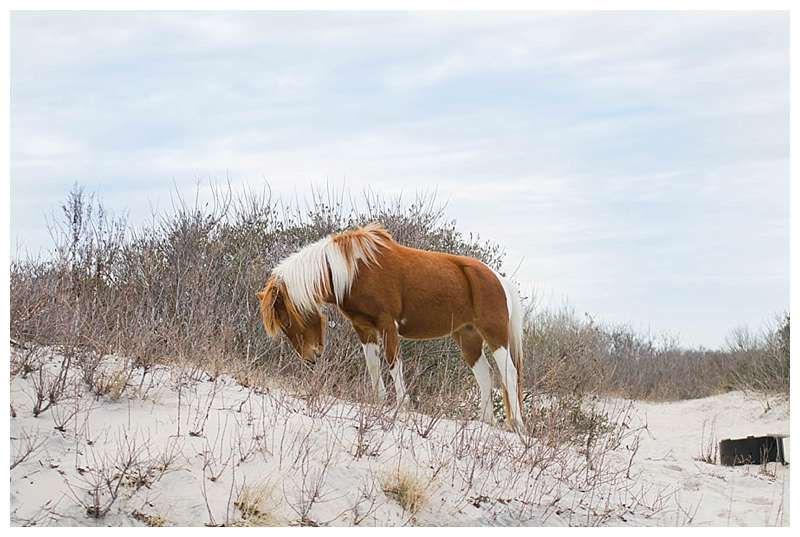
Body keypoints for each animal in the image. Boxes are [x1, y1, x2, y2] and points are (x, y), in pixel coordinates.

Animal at [256, 223, 528, 432]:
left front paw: (401, 404)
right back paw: (484, 422)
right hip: (467, 336)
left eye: (287, 320)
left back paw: (518, 424)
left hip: (495, 334)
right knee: (484, 375)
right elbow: (374, 365)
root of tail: (499, 279)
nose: (311, 357)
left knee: (509, 373)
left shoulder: (388, 324)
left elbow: (393, 362)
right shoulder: (363, 328)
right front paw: (378, 400)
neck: (353, 271)